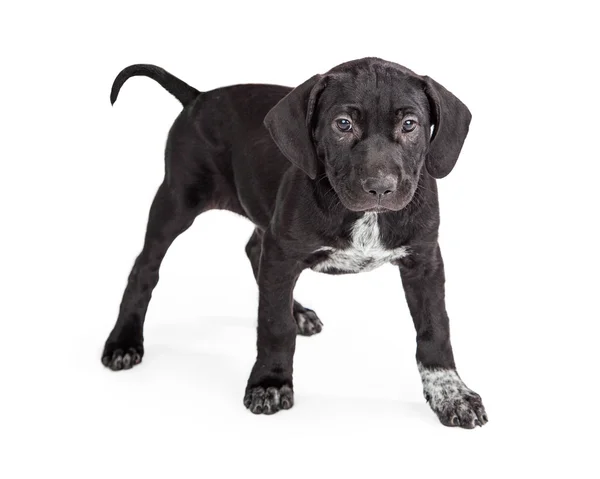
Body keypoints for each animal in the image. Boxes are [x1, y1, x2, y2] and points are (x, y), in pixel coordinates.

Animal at [102, 58, 488, 430]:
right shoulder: (283, 252)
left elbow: (435, 330)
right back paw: (124, 341)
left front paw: (452, 394)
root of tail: (198, 97)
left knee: (253, 250)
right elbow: (274, 325)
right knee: (144, 268)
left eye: (410, 124)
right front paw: (270, 382)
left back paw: (298, 310)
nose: (380, 187)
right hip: (176, 201)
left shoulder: (424, 261)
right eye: (343, 124)